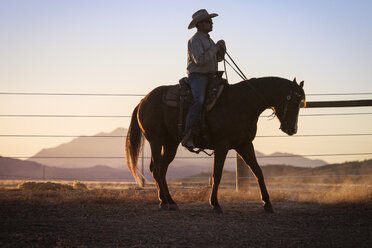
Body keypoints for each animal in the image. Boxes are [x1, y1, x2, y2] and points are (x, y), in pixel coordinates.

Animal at [125, 76, 306, 213]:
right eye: (293, 100)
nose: (292, 129)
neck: (242, 103)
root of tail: (143, 100)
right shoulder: (222, 146)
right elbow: (217, 174)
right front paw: (215, 204)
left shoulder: (244, 144)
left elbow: (258, 171)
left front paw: (267, 203)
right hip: (156, 141)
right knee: (156, 169)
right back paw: (163, 202)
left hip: (170, 144)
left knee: (161, 170)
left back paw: (171, 201)